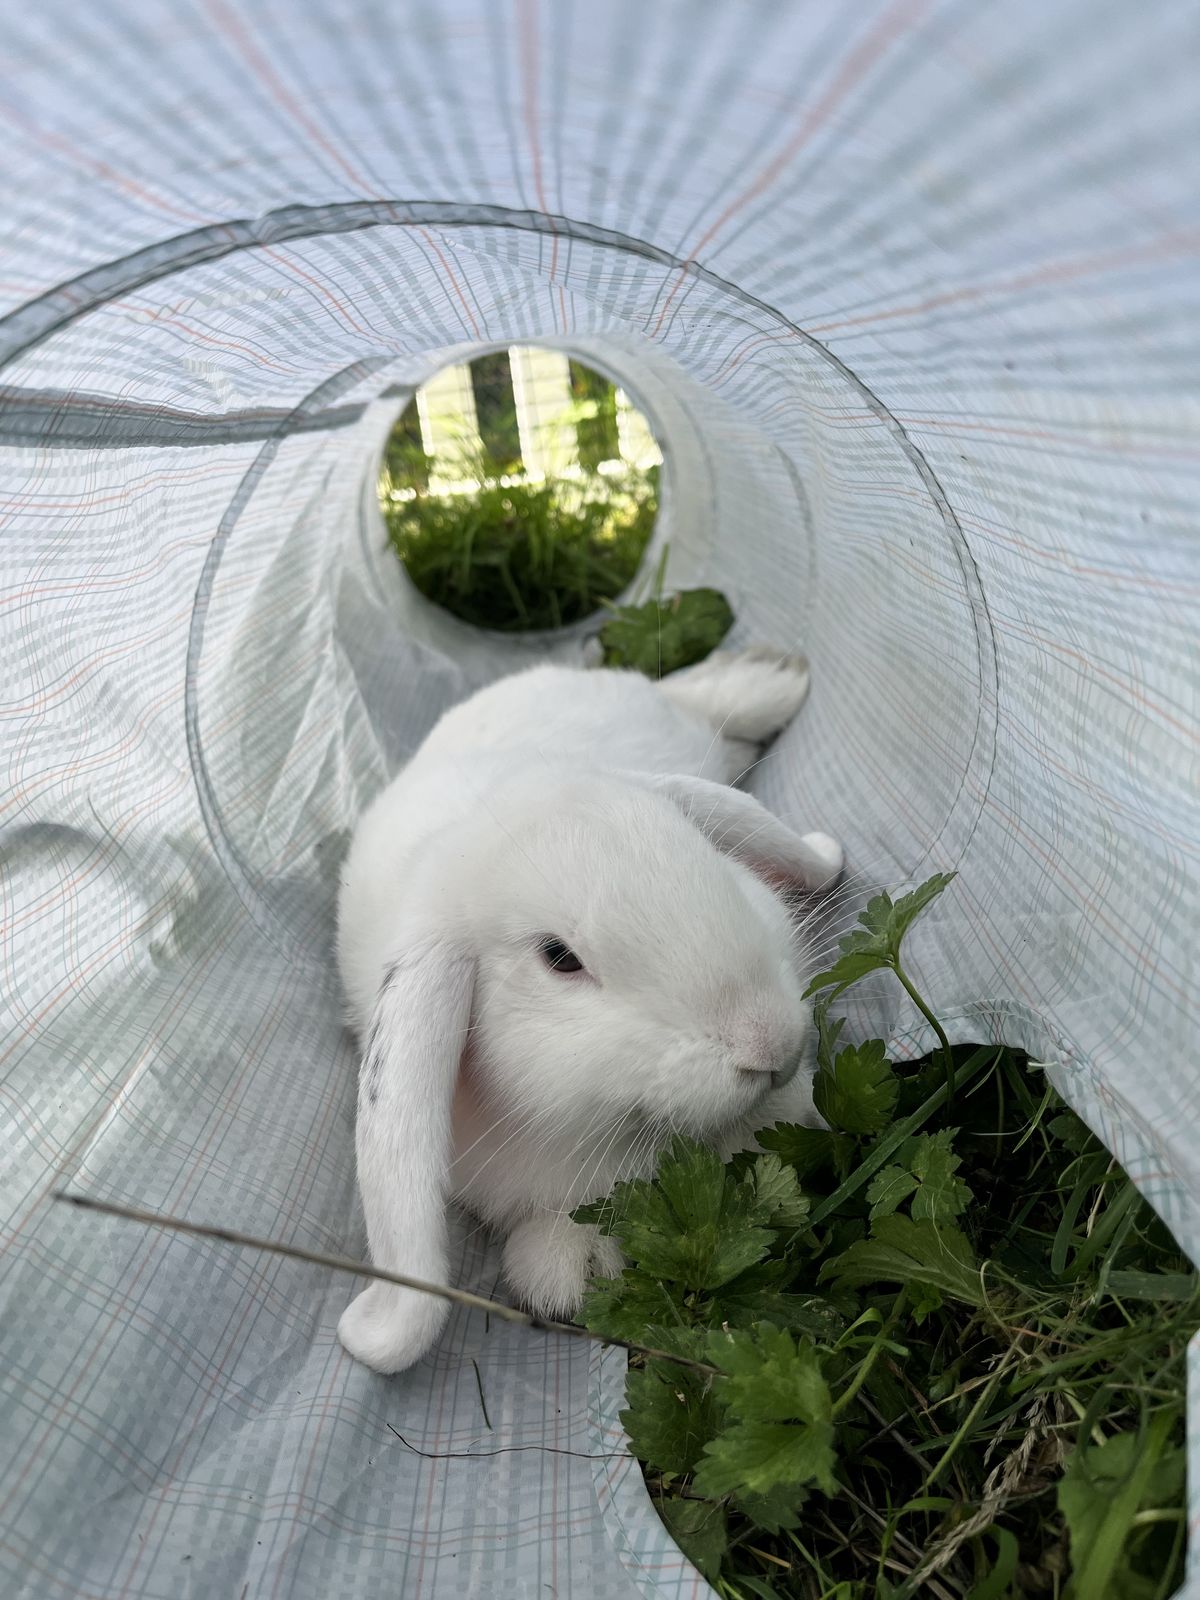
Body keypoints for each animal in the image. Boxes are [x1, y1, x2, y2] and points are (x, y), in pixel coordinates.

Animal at [336, 647, 843, 1374]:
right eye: (560, 958)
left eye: (704, 855)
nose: (769, 1043)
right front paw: (569, 1272)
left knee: (700, 697)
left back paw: (777, 676)